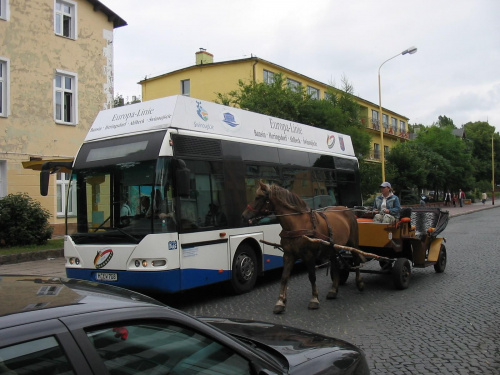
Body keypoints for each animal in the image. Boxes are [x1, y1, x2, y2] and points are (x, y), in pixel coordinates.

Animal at [242, 182, 364, 314]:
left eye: (258, 197)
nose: (244, 215)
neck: (296, 224)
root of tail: (347, 209)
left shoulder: (309, 255)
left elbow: (312, 276)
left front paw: (314, 299)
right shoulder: (288, 255)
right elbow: (284, 277)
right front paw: (280, 302)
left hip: (353, 243)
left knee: (356, 260)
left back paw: (359, 283)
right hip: (331, 248)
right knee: (335, 264)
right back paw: (333, 290)